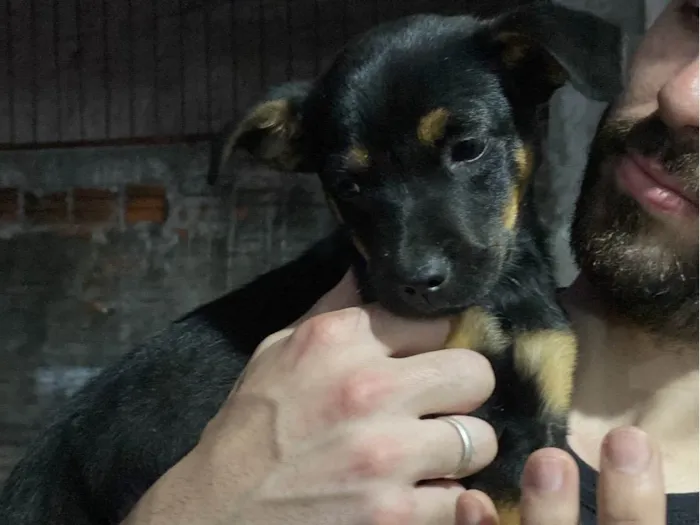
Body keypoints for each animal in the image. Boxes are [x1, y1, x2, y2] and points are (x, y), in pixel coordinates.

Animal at [0, 4, 620, 524]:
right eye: (348, 185)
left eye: (468, 148)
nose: (417, 284)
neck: (502, 295)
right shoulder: (486, 436)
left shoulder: (536, 425)